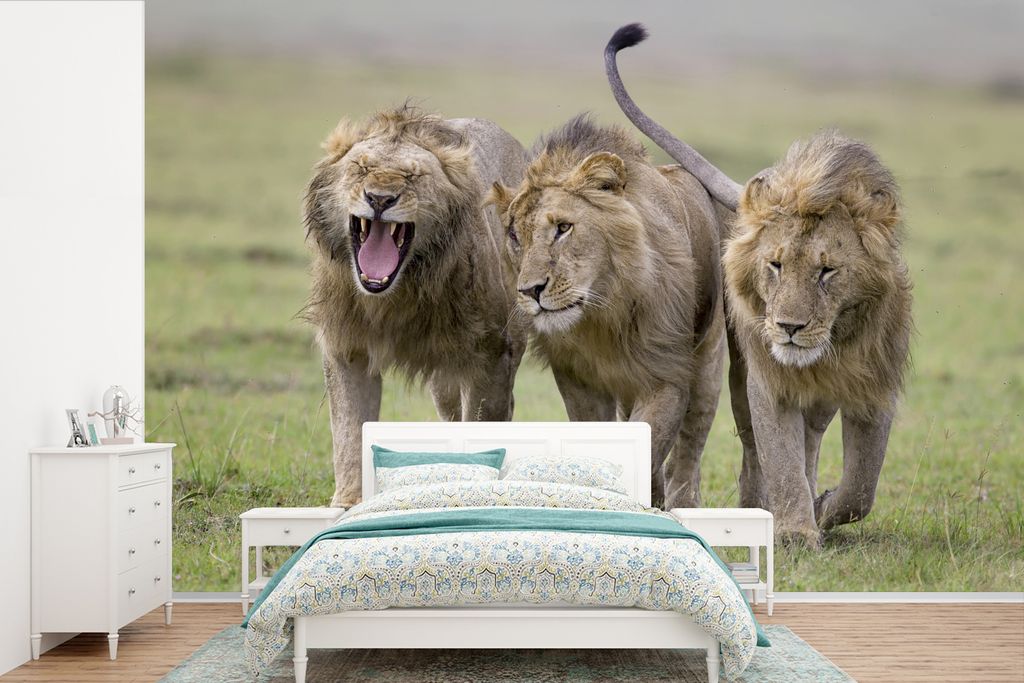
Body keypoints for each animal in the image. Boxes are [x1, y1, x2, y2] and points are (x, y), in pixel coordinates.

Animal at [304, 105, 529, 507]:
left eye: (413, 176)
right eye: (360, 167)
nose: (379, 199)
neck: (398, 294)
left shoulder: (492, 356)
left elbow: (483, 426)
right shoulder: (347, 348)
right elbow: (349, 433)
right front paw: (349, 504)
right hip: (445, 385)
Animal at [489, 115, 727, 509]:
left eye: (563, 228)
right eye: (514, 236)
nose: (530, 291)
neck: (602, 313)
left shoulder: (668, 377)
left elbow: (649, 449)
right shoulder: (577, 380)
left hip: (708, 358)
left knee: (691, 447)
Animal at [606, 24, 913, 545]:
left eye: (827, 271)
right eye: (775, 265)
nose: (789, 327)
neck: (833, 343)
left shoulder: (875, 382)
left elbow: (861, 486)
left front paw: (824, 508)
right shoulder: (768, 379)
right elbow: (779, 457)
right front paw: (795, 531)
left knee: (813, 437)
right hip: (736, 365)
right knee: (755, 446)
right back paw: (760, 506)